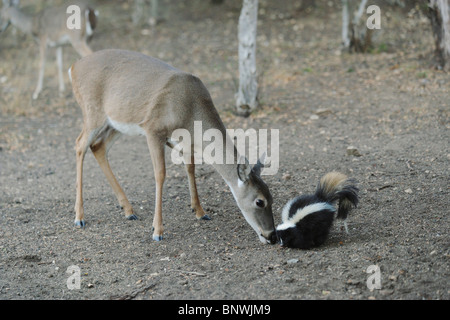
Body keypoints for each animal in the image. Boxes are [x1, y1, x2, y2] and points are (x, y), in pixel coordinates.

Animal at [69, 49, 278, 245]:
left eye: (272, 196)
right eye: (260, 201)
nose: (272, 236)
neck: (191, 111)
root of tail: (73, 68)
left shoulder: (185, 142)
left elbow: (190, 169)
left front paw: (200, 211)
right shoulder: (153, 129)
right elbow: (160, 174)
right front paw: (157, 231)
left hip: (117, 122)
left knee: (98, 146)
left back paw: (128, 210)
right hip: (93, 111)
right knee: (80, 144)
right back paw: (79, 217)